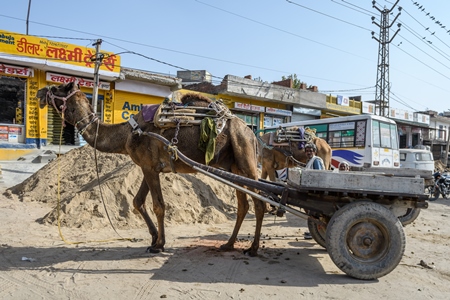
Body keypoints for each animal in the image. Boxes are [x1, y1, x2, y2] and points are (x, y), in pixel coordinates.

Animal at [38, 82, 266, 258]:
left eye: (58, 87)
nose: (40, 92)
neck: (128, 132)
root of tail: (250, 132)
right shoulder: (148, 166)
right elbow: (137, 201)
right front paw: (154, 238)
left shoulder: (149, 167)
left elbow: (158, 206)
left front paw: (159, 245)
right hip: (233, 167)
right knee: (243, 205)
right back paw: (228, 244)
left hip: (246, 159)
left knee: (259, 202)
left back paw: (253, 249)